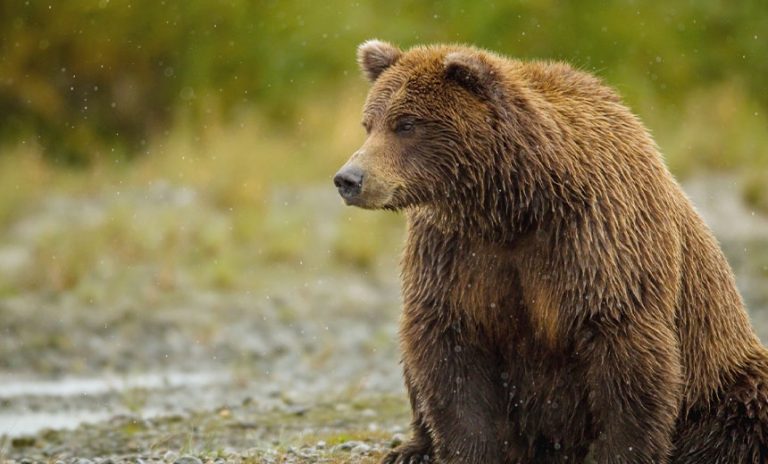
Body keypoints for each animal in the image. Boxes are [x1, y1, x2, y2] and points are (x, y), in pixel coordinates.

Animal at [333, 40, 768, 464]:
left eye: (405, 124)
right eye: (369, 124)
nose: (349, 179)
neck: (514, 206)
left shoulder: (599, 242)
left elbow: (625, 355)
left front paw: (619, 453)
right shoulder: (454, 252)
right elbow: (450, 349)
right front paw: (467, 450)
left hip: (722, 378)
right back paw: (410, 450)